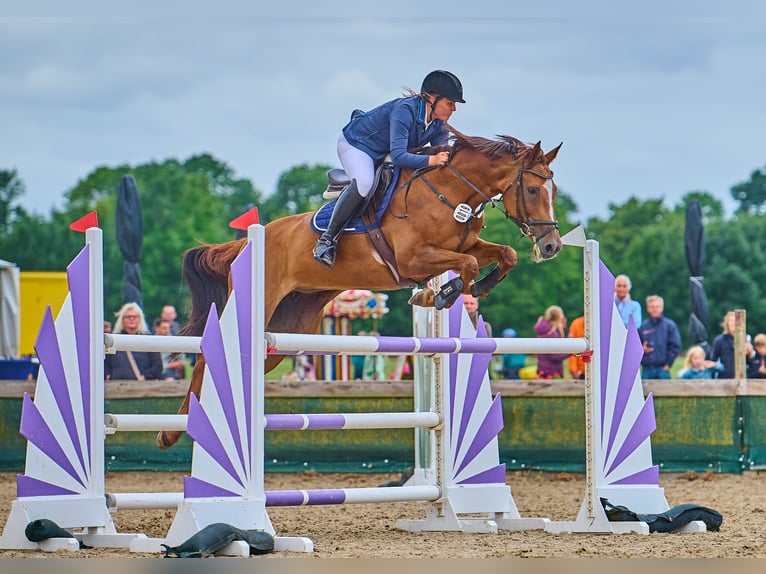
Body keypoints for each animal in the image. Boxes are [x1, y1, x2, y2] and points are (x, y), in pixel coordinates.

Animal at [156, 129, 564, 450]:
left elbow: (504, 255)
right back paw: (171, 432)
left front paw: (468, 290)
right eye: (531, 188)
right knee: (206, 357)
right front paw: (440, 295)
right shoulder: (413, 259)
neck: (450, 193)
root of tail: (248, 241)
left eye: (554, 189)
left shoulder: (465, 245)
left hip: (288, 328)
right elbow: (469, 265)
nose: (551, 247)